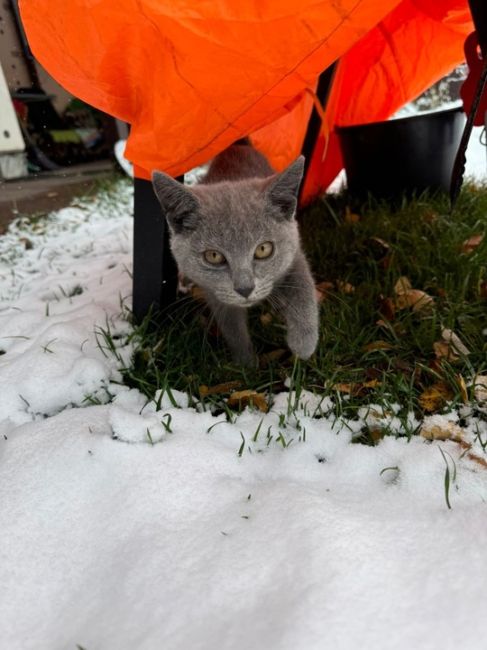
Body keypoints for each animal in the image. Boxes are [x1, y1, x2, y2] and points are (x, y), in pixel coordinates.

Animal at [153, 141, 320, 364]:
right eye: (214, 256)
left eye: (263, 249)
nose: (245, 289)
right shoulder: (215, 291)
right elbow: (231, 324)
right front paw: (245, 362)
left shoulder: (293, 254)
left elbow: (303, 289)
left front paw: (303, 345)